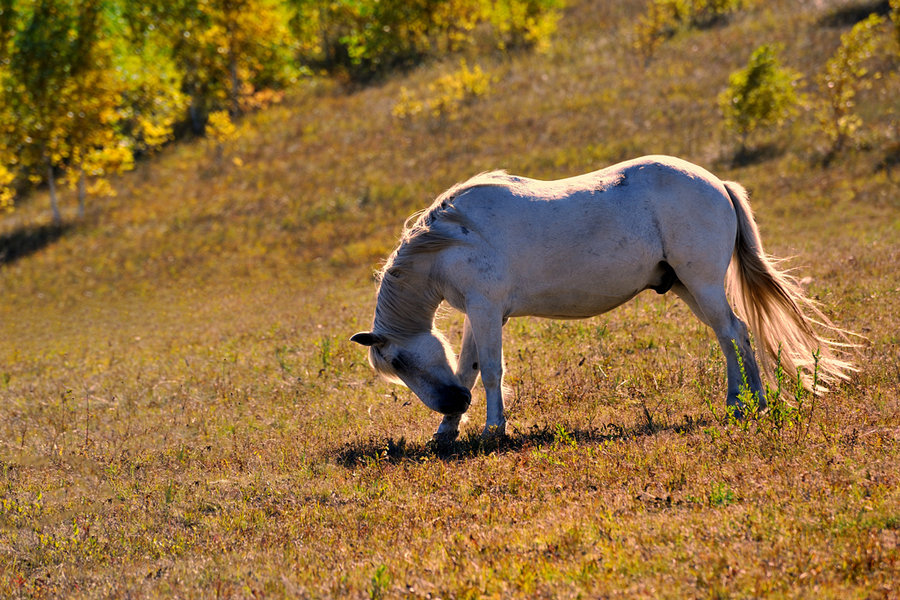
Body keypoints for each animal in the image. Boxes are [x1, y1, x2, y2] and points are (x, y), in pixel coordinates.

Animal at [350, 157, 852, 438]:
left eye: (398, 362)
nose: (454, 405)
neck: (456, 237)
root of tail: (716, 183)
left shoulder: (487, 310)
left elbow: (490, 371)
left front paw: (493, 429)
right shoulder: (480, 314)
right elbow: (468, 368)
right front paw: (447, 431)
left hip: (703, 282)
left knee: (734, 333)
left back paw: (750, 403)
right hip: (687, 286)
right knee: (731, 335)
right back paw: (742, 400)